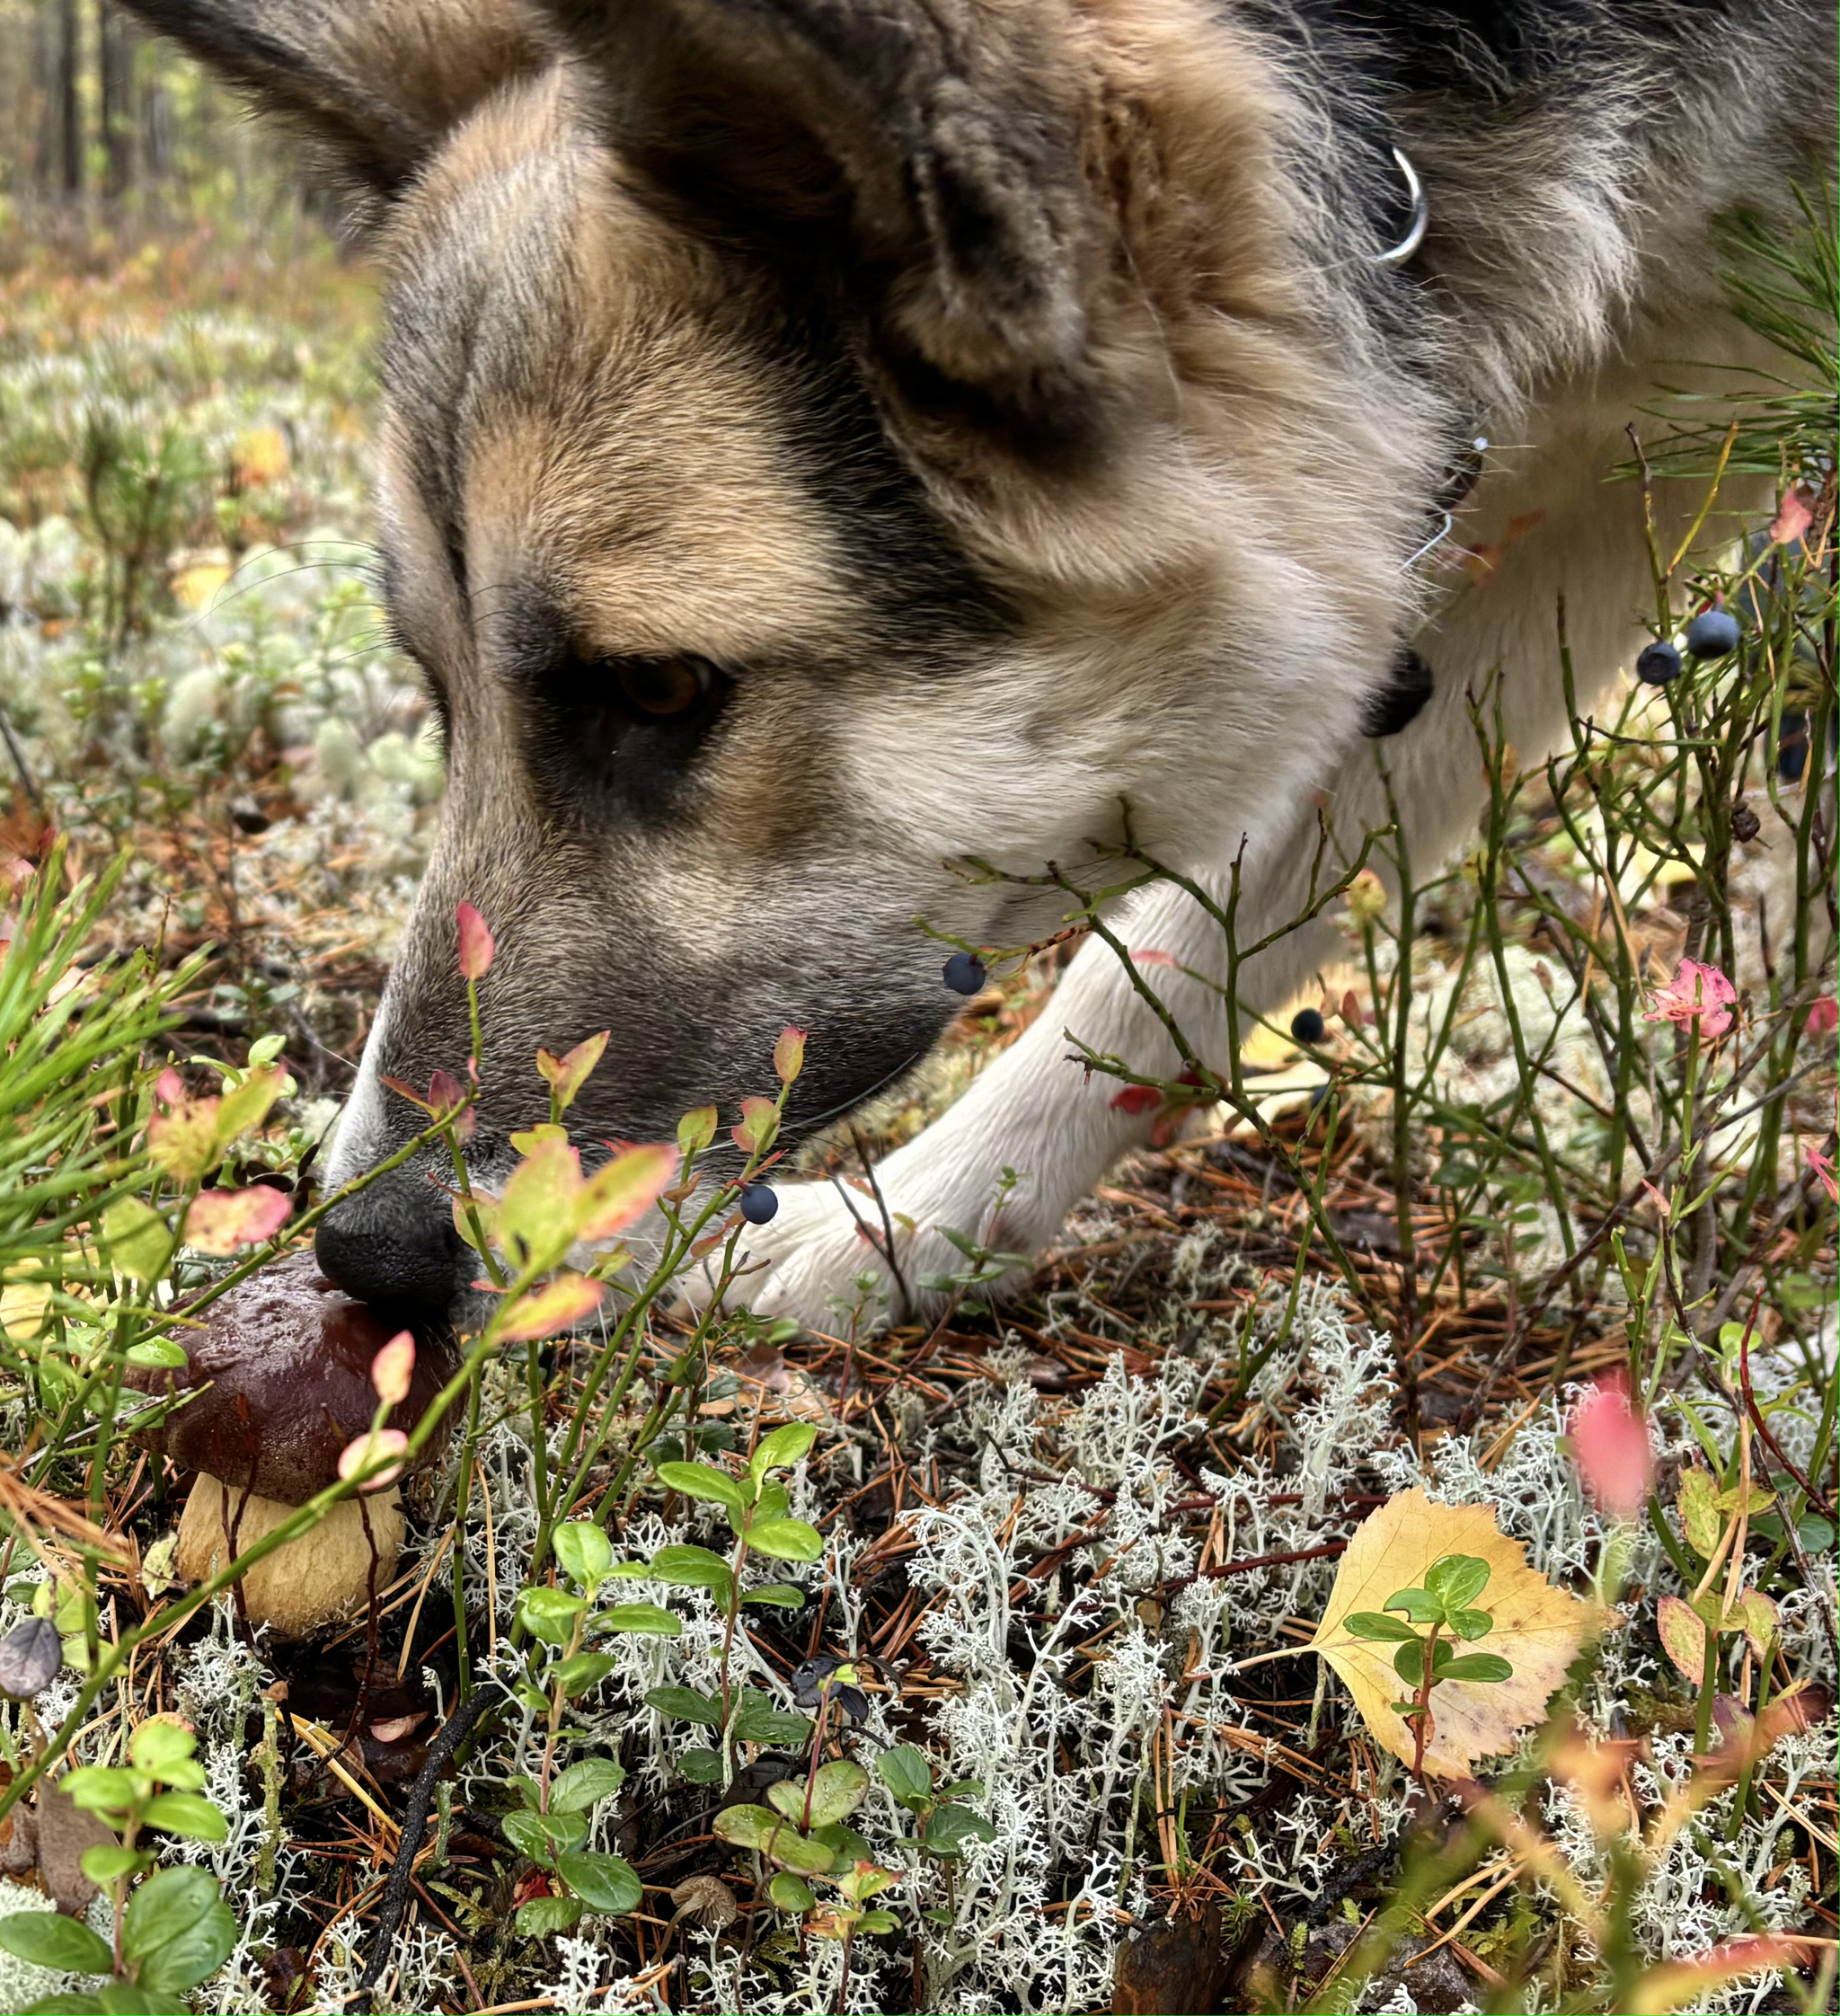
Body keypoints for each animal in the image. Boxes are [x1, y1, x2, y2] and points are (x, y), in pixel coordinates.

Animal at [121, 0, 1829, 1331]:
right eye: (437, 689)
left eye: (660, 689)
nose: (366, 1256)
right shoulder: (1572, 517)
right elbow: (1164, 965)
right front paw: (913, 1230)